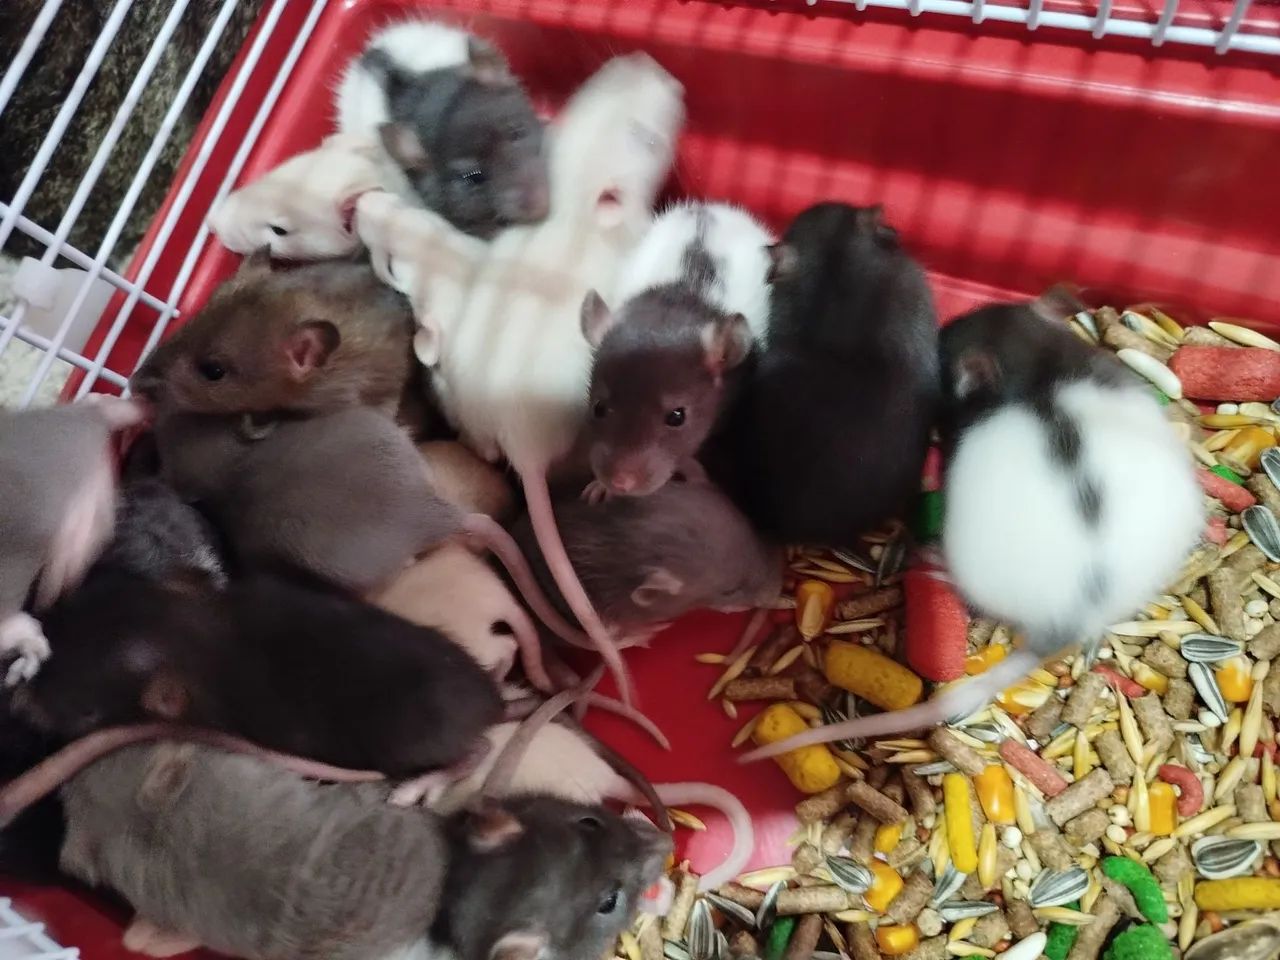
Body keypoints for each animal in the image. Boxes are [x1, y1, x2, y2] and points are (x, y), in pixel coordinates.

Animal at [583, 202, 774, 498]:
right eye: (599, 408)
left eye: (677, 417)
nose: (620, 482)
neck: (674, 304)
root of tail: (711, 208)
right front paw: (601, 487)